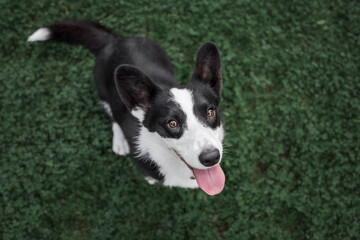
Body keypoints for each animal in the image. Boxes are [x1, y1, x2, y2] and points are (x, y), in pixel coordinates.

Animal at [28, 20, 225, 196]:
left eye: (210, 112)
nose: (211, 158)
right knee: (112, 115)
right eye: (172, 123)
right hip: (102, 91)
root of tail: (114, 40)